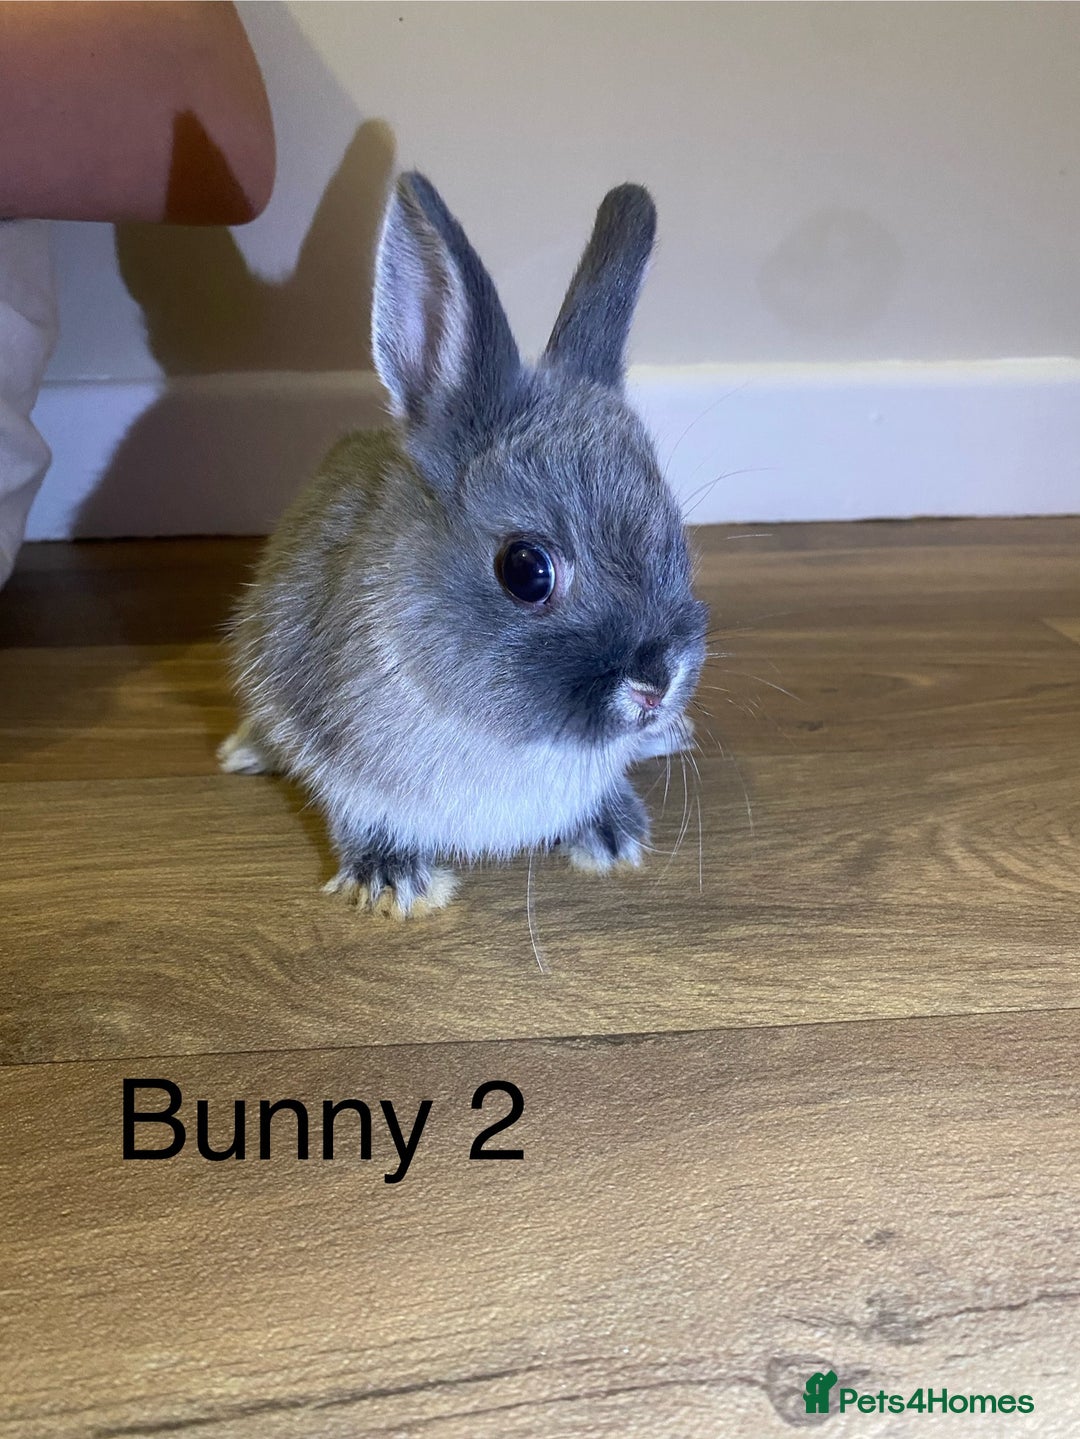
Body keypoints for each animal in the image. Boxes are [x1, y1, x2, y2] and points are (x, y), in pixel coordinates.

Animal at [219, 172, 708, 917]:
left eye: (675, 532)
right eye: (527, 569)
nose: (657, 683)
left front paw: (612, 834)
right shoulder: (337, 748)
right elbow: (353, 807)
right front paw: (394, 883)